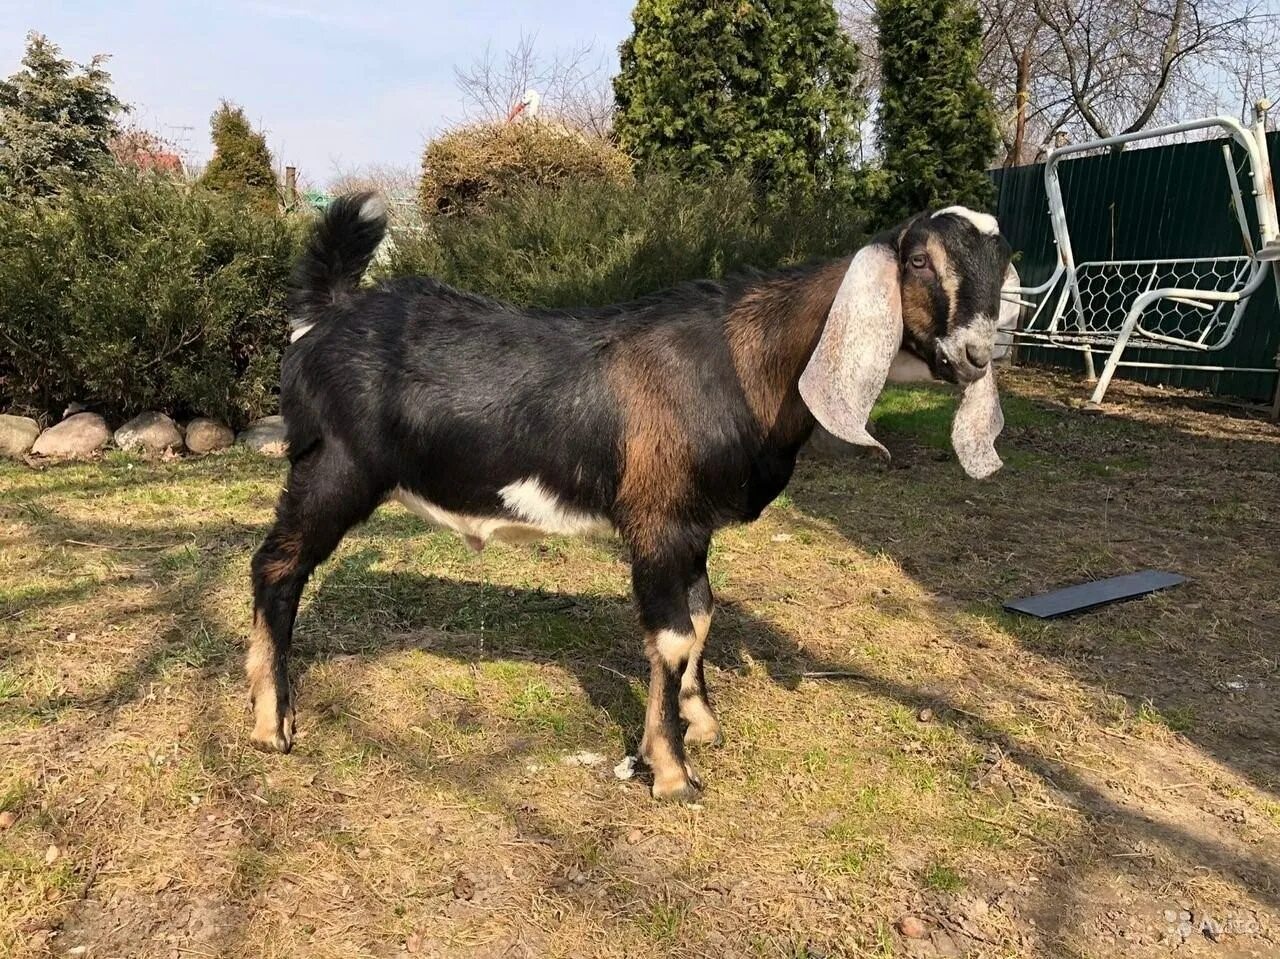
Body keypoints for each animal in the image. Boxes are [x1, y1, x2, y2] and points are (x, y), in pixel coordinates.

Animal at [247, 192, 1008, 798]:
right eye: (919, 261)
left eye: (1000, 264)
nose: (977, 355)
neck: (741, 362)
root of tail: (324, 318)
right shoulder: (659, 520)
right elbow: (672, 637)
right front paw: (672, 772)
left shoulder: (693, 527)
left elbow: (702, 616)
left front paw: (701, 723)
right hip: (335, 470)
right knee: (275, 567)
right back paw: (271, 722)